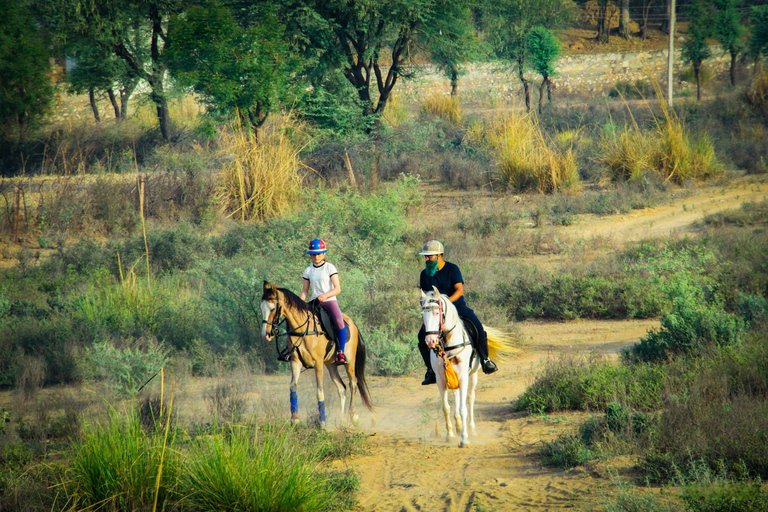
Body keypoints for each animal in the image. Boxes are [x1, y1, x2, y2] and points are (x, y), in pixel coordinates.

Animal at [262, 282, 374, 426]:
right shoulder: (296, 362)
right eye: (261, 308)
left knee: (353, 383)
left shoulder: (318, 363)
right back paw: (341, 419)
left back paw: (353, 415)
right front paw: (294, 419)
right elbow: (293, 387)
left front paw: (322, 422)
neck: (304, 329)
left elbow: (319, 391)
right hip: (331, 365)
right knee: (341, 388)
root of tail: (353, 324)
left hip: (349, 362)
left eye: (272, 308)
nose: (266, 334)